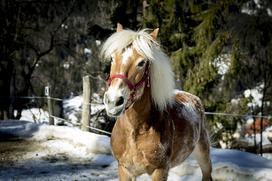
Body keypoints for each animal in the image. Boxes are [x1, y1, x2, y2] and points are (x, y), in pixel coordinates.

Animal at [100, 23, 212, 180]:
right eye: (112, 58)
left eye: (141, 63)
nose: (113, 101)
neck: (136, 130)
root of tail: (194, 99)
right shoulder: (125, 170)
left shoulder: (160, 171)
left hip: (203, 155)